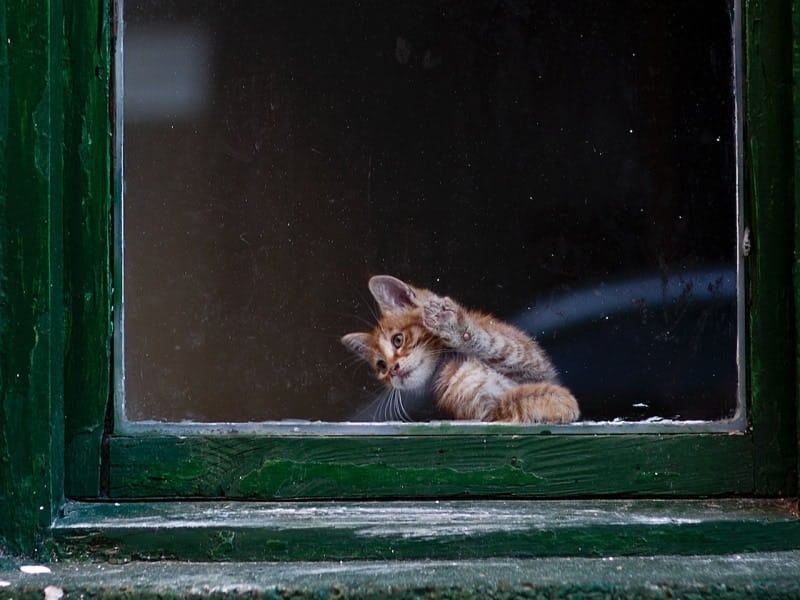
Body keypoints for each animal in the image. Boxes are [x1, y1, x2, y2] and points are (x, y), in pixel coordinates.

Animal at [340, 274, 580, 424]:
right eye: (381, 366)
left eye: (397, 340)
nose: (392, 370)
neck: (451, 362)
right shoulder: (488, 414)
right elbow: (512, 401)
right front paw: (554, 399)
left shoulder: (536, 365)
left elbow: (496, 345)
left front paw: (454, 327)